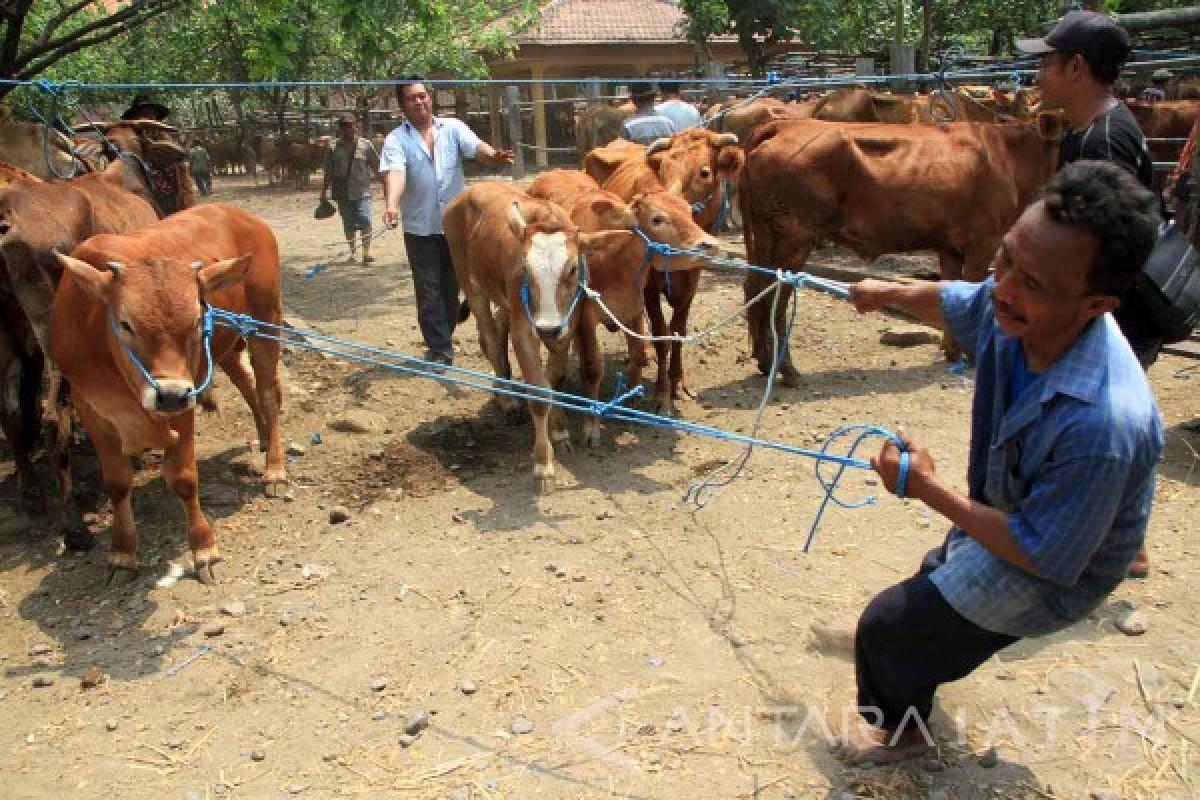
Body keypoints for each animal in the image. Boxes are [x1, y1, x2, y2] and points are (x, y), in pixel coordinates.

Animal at [51, 203, 288, 585]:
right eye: (125, 323)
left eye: (196, 319)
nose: (171, 395)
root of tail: (244, 216)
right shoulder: (92, 411)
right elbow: (116, 483)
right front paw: (122, 553)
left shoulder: (183, 403)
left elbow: (184, 479)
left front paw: (204, 549)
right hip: (225, 346)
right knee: (247, 384)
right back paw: (265, 438)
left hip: (266, 320)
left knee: (267, 394)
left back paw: (276, 470)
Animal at [739, 115, 1070, 383]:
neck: (1008, 154)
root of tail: (783, 125)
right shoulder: (984, 240)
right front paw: (972, 356)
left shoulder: (949, 247)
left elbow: (951, 291)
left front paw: (952, 351)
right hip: (794, 238)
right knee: (775, 295)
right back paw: (786, 370)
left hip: (764, 236)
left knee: (754, 285)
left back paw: (764, 363)